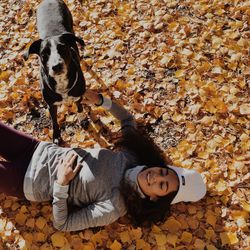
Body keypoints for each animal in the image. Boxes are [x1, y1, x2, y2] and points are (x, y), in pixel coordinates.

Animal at [24, 0, 86, 144]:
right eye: (44, 53)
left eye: (63, 48)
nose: (56, 66)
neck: (61, 83)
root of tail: (49, 0)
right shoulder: (51, 105)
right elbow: (54, 121)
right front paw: (57, 136)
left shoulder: (78, 94)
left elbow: (79, 106)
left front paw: (82, 117)